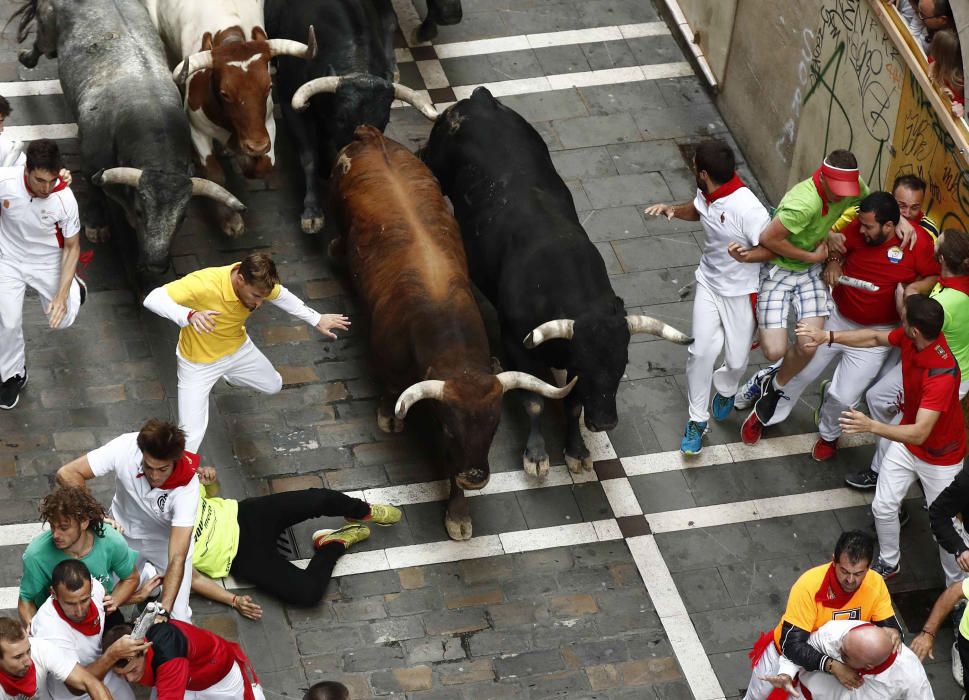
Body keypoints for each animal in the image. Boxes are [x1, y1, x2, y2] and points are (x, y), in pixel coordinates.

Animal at [332, 127, 576, 540]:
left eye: (494, 427)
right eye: (450, 428)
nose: (475, 477)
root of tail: (372, 136)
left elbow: (451, 467)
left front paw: (459, 513)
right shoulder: (389, 363)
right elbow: (390, 390)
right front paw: (389, 416)